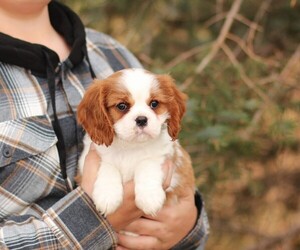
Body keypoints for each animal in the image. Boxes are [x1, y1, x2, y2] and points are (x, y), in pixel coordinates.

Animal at [77, 69, 195, 217]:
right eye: (122, 106)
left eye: (154, 104)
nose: (142, 119)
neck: (130, 146)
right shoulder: (88, 159)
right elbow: (108, 166)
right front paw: (107, 195)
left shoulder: (169, 158)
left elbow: (147, 165)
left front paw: (149, 197)